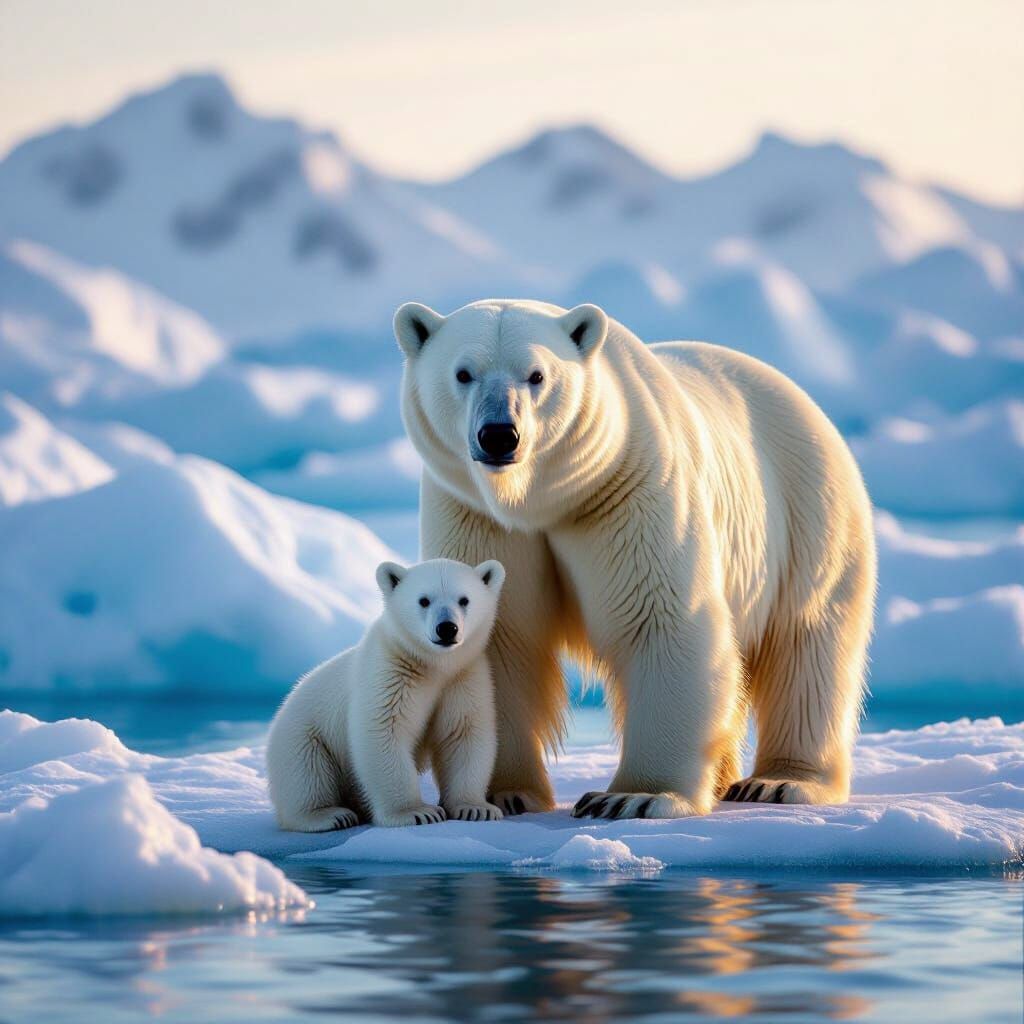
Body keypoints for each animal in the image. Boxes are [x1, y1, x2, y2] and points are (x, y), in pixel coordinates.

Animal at [266, 557, 507, 830]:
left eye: (464, 599)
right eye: (424, 600)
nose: (447, 628)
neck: (432, 666)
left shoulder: (463, 677)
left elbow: (464, 732)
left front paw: (476, 808)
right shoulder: (390, 672)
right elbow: (385, 729)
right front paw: (416, 812)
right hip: (303, 736)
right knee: (306, 772)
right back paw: (329, 815)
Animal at [394, 298, 876, 820]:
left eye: (537, 375)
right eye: (463, 372)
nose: (500, 435)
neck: (539, 501)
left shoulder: (628, 488)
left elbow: (658, 619)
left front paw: (634, 796)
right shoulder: (476, 514)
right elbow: (498, 638)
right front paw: (505, 794)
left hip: (808, 513)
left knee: (808, 644)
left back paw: (780, 781)